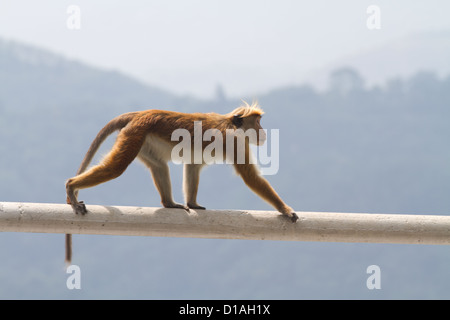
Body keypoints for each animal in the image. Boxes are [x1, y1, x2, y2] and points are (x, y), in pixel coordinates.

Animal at [65, 103, 298, 264]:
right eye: (257, 123)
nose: (264, 132)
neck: (231, 124)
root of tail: (139, 114)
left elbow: (193, 164)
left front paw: (192, 203)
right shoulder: (234, 142)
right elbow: (250, 177)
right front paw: (285, 209)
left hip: (143, 140)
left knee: (159, 165)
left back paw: (168, 203)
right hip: (135, 134)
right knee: (116, 168)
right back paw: (71, 186)